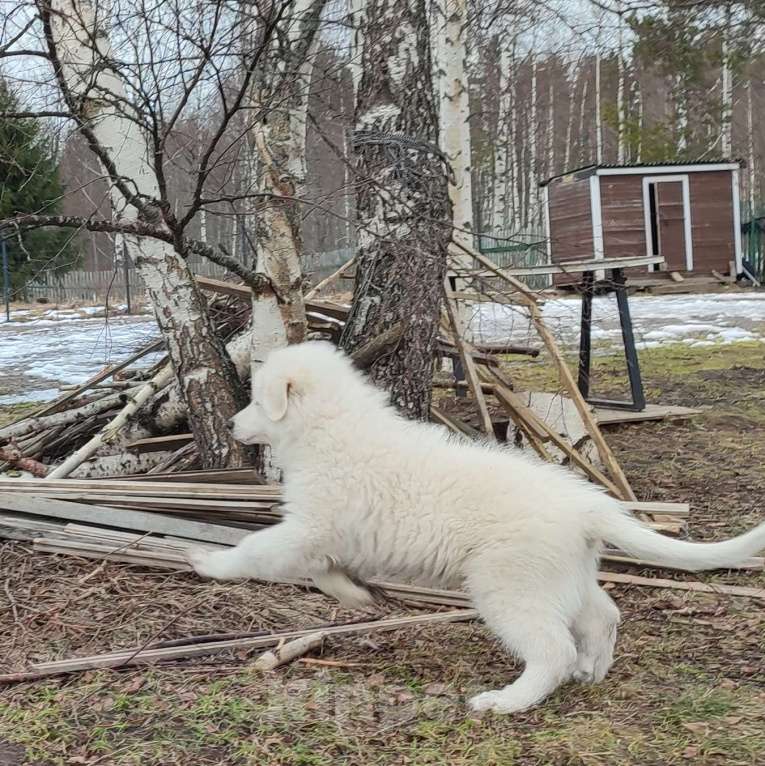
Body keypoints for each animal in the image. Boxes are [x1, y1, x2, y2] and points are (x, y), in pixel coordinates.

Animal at [188, 342, 764, 712]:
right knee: (603, 615)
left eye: (258, 400)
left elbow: (257, 547)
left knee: (552, 650)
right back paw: (592, 670)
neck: (330, 429)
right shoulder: (327, 534)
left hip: (509, 584)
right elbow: (323, 570)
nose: (233, 424)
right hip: (563, 576)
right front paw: (358, 597)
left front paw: (209, 561)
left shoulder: (309, 525)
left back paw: (506, 702)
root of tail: (587, 505)